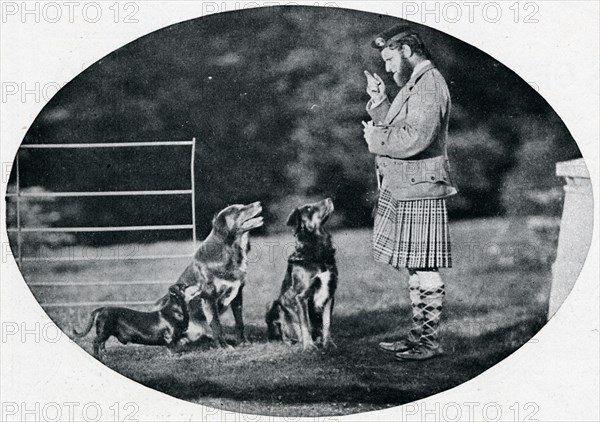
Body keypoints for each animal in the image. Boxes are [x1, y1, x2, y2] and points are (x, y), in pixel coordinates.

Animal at [158, 203, 264, 348]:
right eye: (237, 211)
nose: (259, 203)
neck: (231, 250)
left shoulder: (238, 293)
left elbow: (239, 322)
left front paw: (243, 342)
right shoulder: (209, 296)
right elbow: (216, 324)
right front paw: (224, 346)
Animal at [266, 199, 338, 352]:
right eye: (309, 209)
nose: (329, 199)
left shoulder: (330, 294)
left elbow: (327, 323)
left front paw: (328, 343)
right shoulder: (301, 296)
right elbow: (305, 324)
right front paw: (309, 346)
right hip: (272, 305)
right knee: (283, 333)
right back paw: (294, 342)